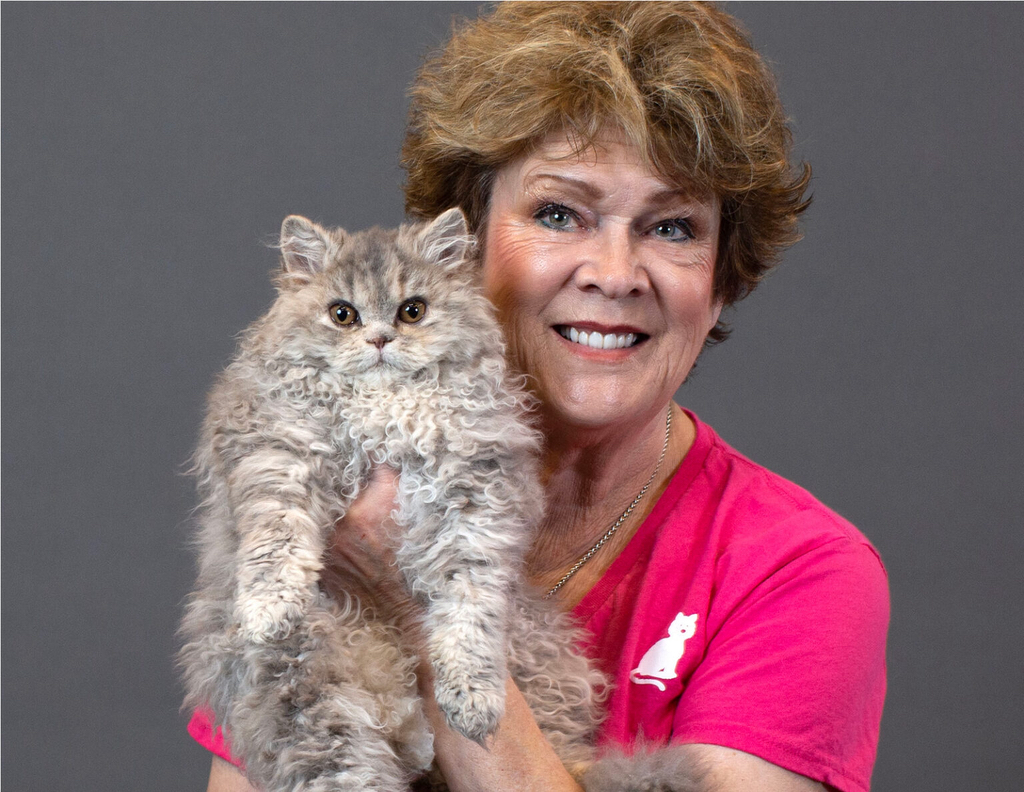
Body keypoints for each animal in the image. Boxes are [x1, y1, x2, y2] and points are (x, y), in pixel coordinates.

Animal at [178, 208, 604, 792]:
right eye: (343, 314)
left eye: (412, 311)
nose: (380, 339)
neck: (383, 409)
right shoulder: (276, 453)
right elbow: (276, 540)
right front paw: (269, 610)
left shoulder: (477, 502)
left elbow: (468, 613)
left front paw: (473, 702)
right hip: (310, 697)